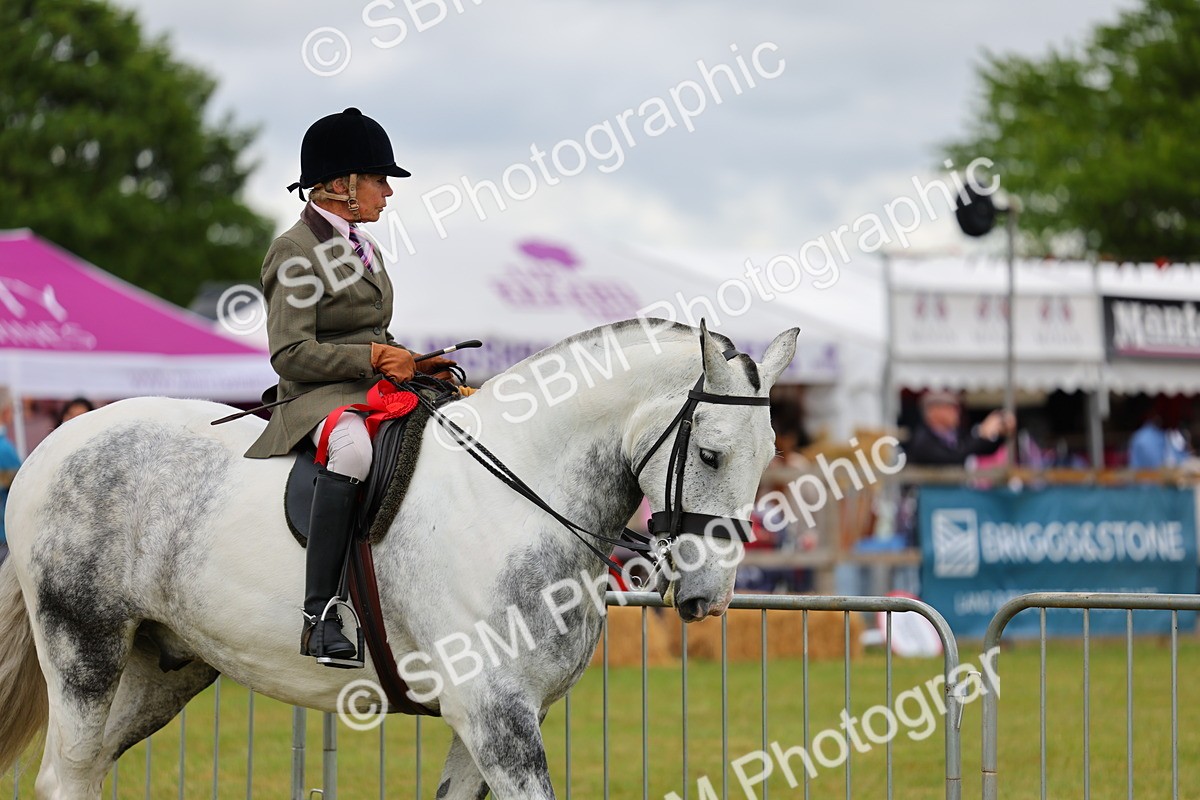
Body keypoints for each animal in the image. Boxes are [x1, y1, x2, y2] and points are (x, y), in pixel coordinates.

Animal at [0, 318, 797, 799]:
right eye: (711, 453)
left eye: (769, 454)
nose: (709, 598)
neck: (516, 490)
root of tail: (50, 449)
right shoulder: (496, 715)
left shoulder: (495, 718)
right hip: (85, 648)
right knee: (67, 774)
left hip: (163, 667)